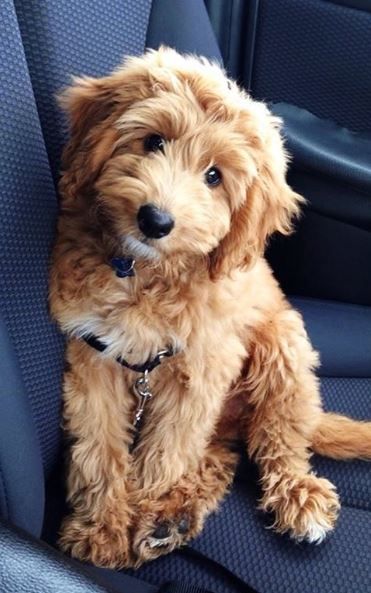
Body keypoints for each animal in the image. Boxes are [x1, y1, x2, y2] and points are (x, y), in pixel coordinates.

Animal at [49, 47, 371, 568]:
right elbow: (98, 446)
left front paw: (140, 511)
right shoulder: (94, 354)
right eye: (153, 140)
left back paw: (293, 495)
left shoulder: (200, 371)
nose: (155, 220)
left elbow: (165, 452)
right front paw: (102, 530)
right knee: (221, 455)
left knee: (278, 437)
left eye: (214, 176)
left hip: (284, 347)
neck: (148, 275)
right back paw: (173, 518)